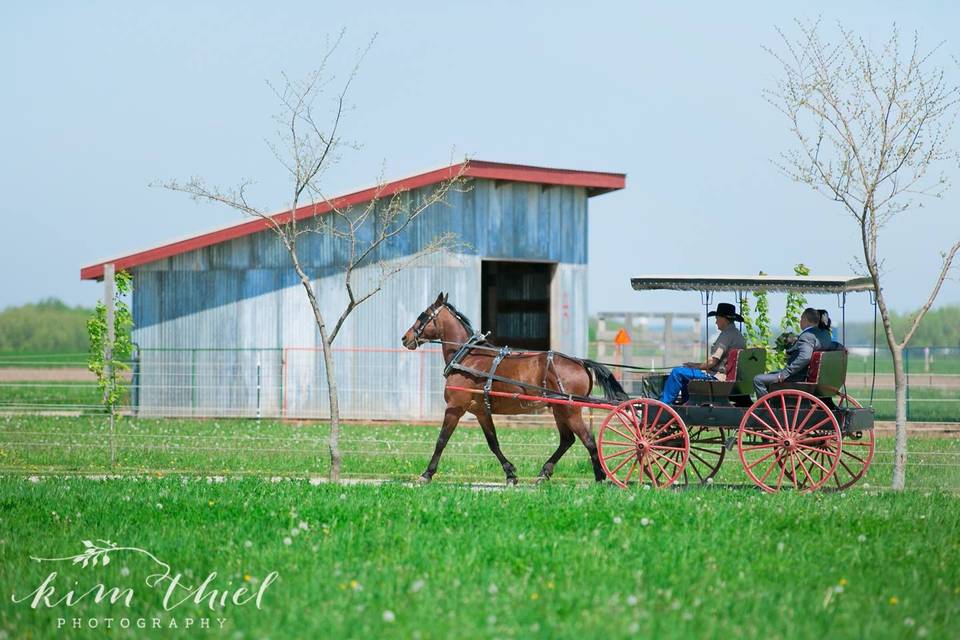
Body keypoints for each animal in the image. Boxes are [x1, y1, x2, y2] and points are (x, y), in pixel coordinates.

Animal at [400, 294, 632, 484]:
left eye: (422, 316)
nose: (405, 338)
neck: (467, 357)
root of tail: (580, 362)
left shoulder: (456, 406)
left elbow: (441, 440)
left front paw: (427, 474)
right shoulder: (481, 411)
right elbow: (493, 442)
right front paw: (510, 473)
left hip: (570, 410)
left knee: (589, 441)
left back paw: (600, 477)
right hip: (559, 409)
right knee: (567, 440)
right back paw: (544, 473)